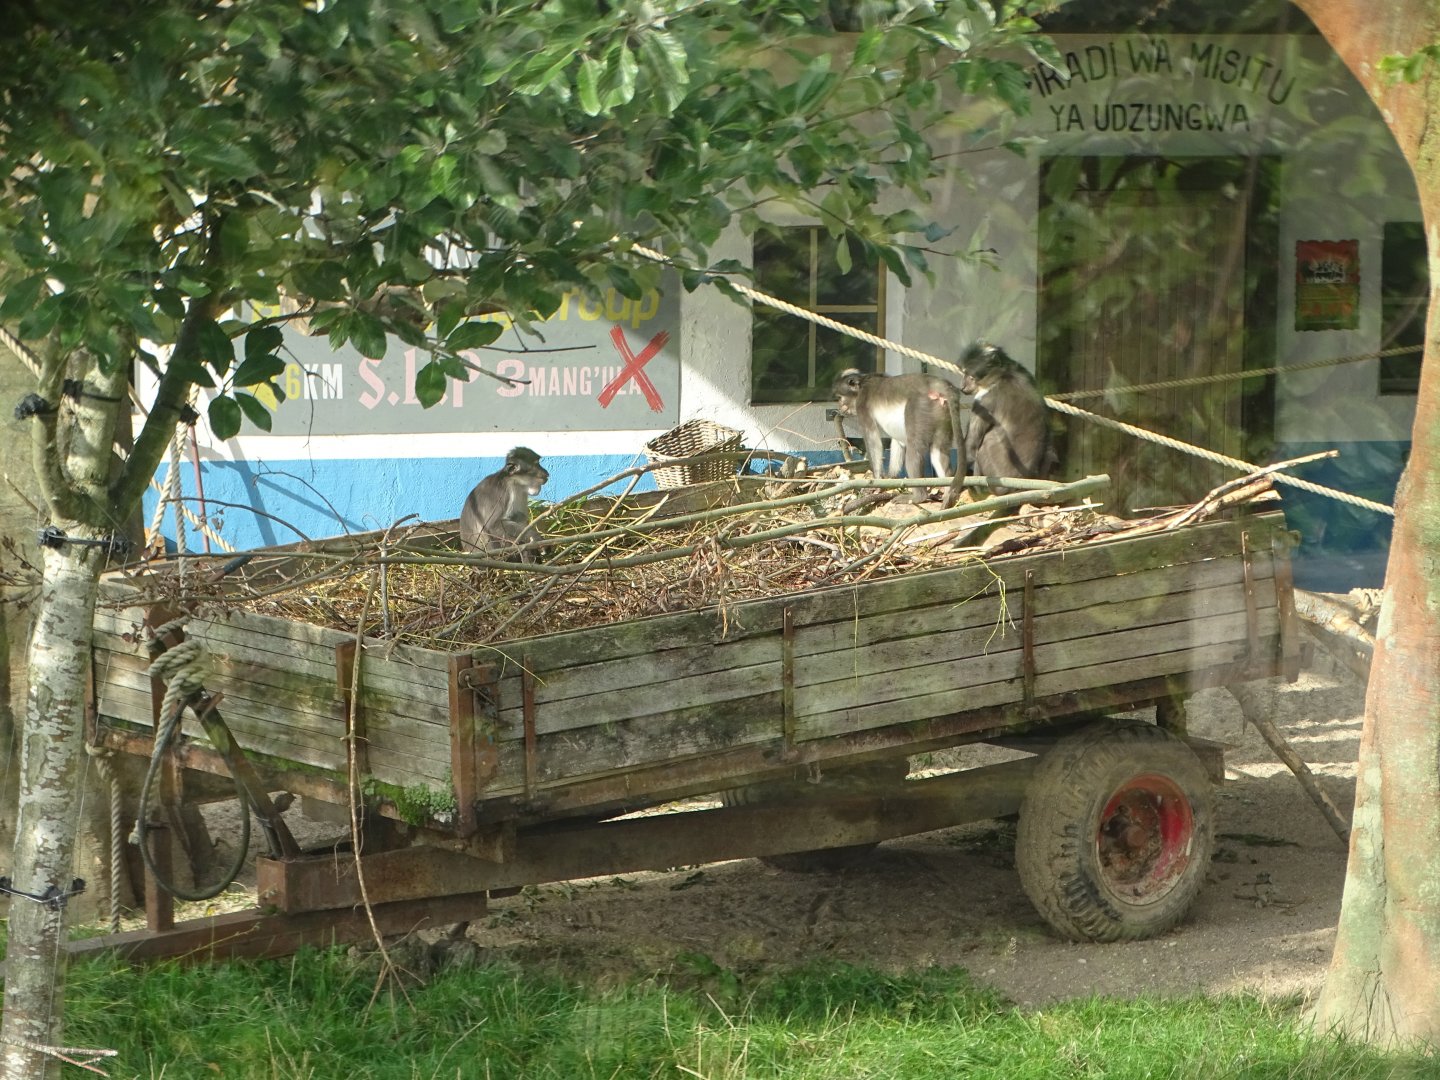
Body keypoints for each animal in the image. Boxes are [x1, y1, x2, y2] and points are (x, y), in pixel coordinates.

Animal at [831, 368, 966, 509]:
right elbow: (898, 441)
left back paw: (919, 496)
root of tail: (939, 384)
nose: (840, 406)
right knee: (938, 450)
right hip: (942, 414)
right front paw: (891, 478)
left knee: (914, 450)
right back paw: (948, 494)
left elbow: (873, 441)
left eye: (840, 398)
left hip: (920, 406)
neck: (862, 383)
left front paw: (877, 483)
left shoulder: (862, 404)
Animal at [959, 342, 1057, 495]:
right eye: (964, 373)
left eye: (970, 376)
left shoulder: (985, 400)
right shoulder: (1023, 371)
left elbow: (969, 450)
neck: (1004, 374)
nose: (962, 387)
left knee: (987, 439)